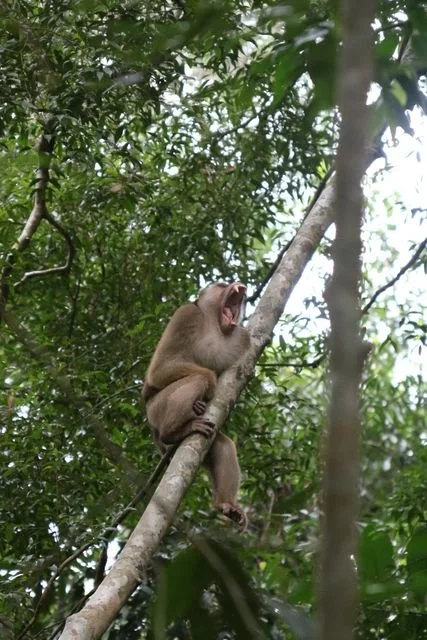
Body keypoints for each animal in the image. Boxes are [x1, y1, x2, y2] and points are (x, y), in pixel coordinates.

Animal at [142, 282, 250, 528]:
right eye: (221, 285)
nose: (238, 285)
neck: (215, 325)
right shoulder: (186, 315)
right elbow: (160, 368)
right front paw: (209, 386)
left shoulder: (243, 338)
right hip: (156, 410)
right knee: (196, 379)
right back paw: (173, 432)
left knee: (222, 445)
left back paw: (225, 504)